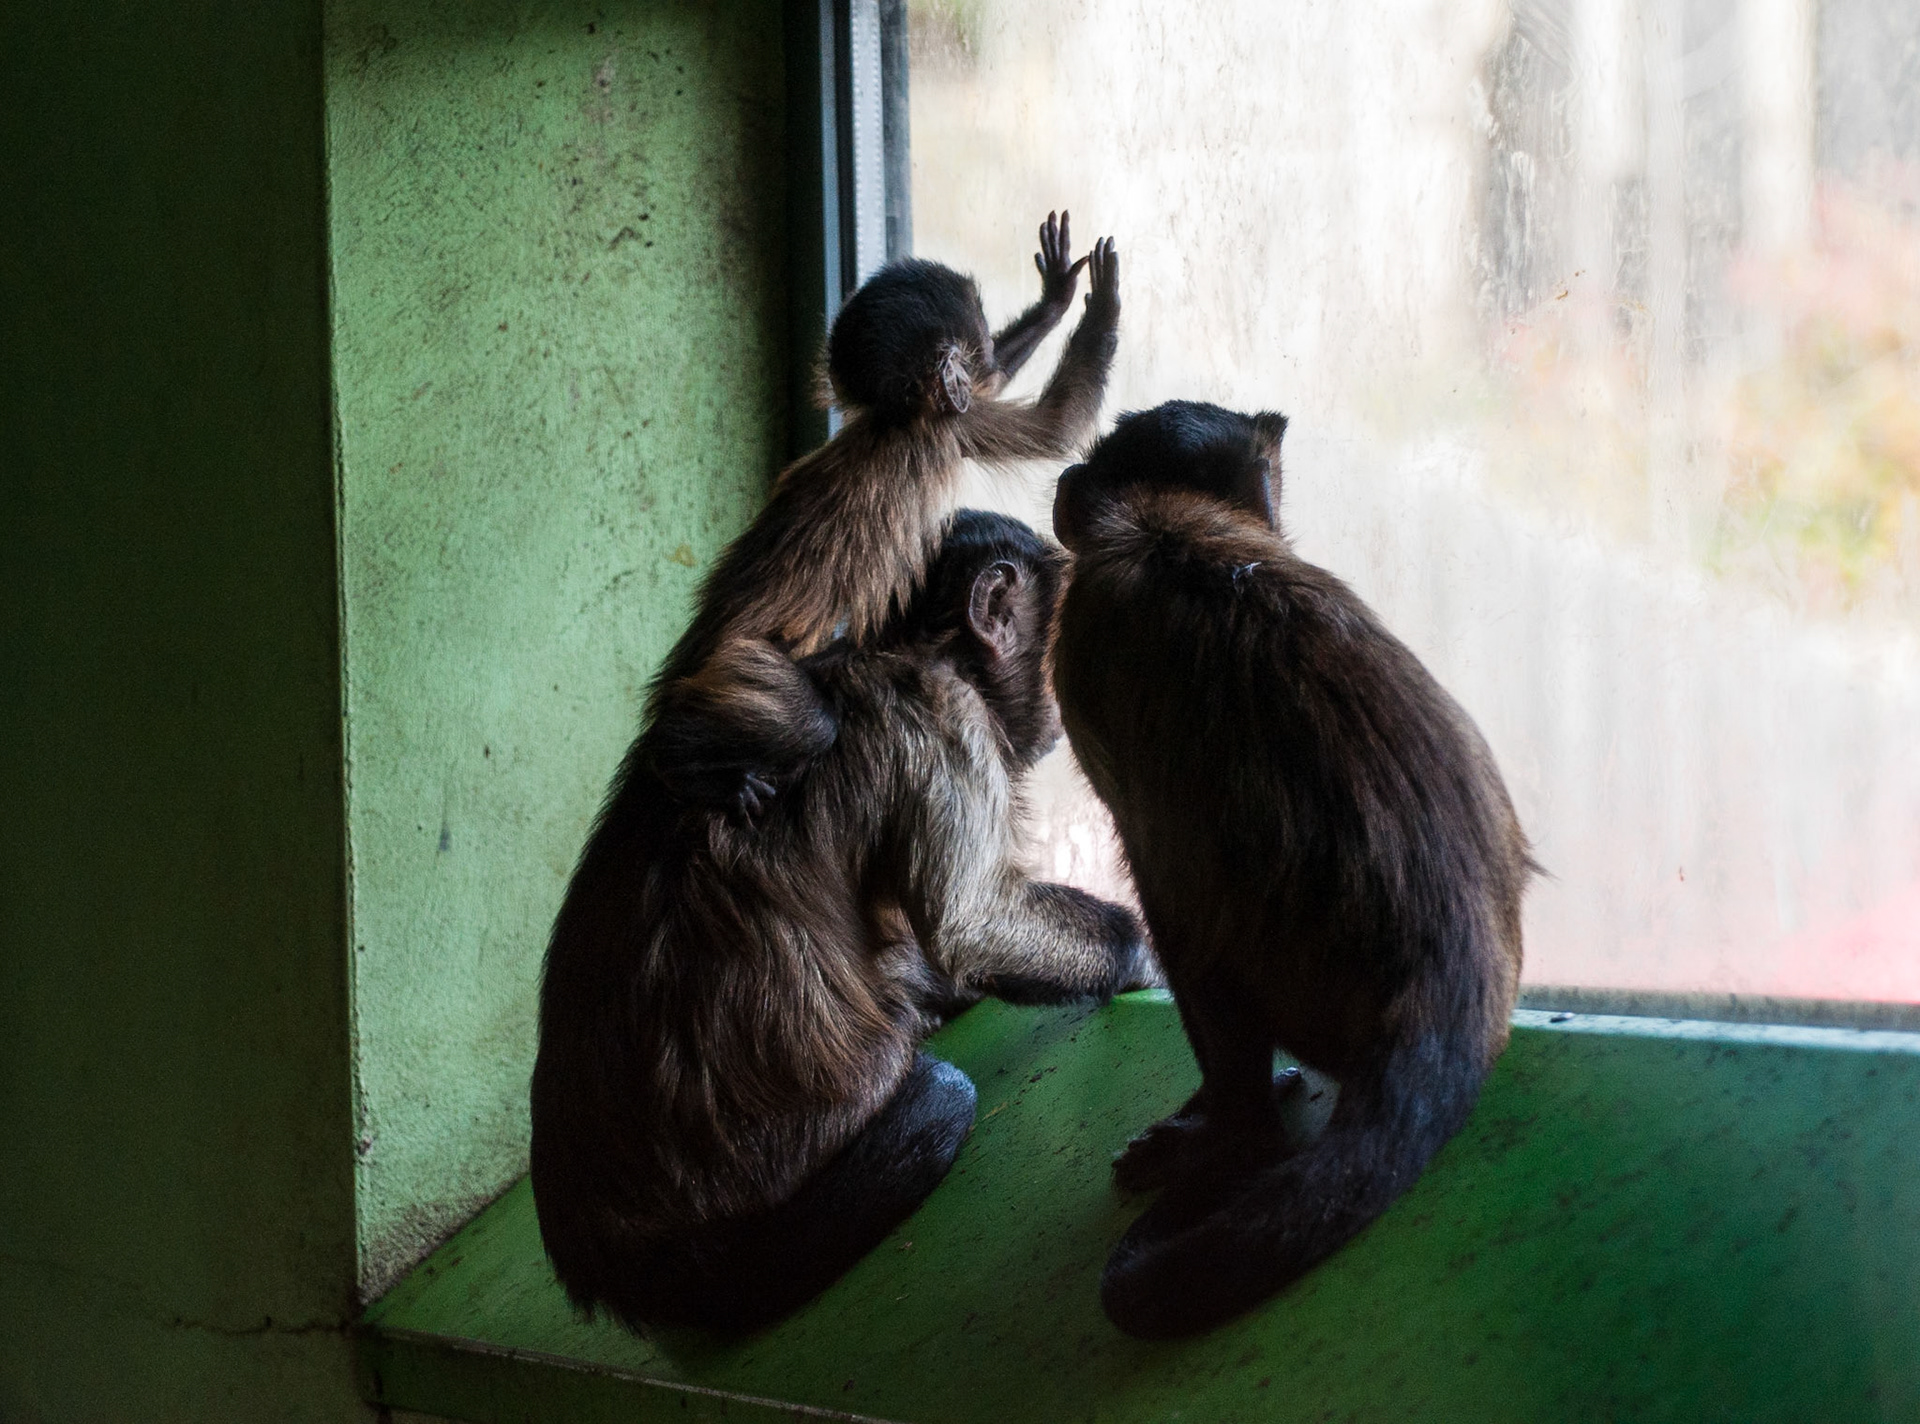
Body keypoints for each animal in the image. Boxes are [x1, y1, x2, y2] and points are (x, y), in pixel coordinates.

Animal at [530, 510, 1154, 1335]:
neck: (918, 651)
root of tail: (606, 1253)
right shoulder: (944, 718)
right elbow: (975, 921)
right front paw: (1150, 953)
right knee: (933, 1086)